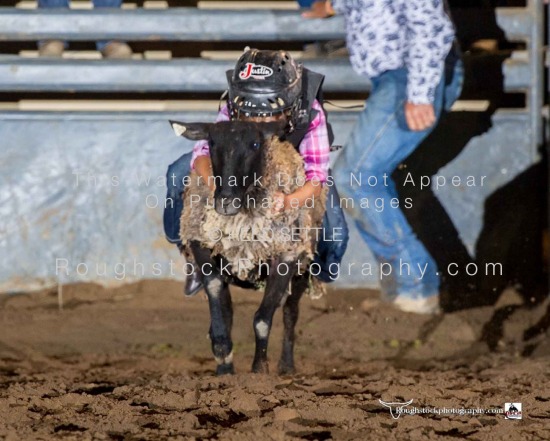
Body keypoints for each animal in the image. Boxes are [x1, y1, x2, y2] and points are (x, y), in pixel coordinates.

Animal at [171, 119, 328, 374]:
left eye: (255, 144)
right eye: (211, 142)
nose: (225, 201)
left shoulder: (286, 255)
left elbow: (263, 319)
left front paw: (259, 369)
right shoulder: (200, 241)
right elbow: (215, 289)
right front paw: (222, 353)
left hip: (303, 267)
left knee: (290, 312)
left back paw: (286, 366)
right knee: (228, 306)